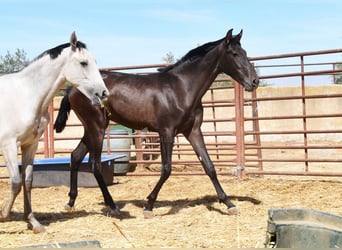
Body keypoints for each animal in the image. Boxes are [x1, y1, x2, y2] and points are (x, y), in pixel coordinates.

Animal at [53, 28, 258, 217]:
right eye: (234, 54)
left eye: (245, 52)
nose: (254, 81)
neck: (182, 88)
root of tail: (72, 89)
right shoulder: (166, 131)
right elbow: (166, 169)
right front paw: (149, 205)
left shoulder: (192, 131)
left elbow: (209, 166)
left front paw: (229, 204)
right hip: (97, 127)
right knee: (94, 165)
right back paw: (112, 206)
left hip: (91, 128)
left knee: (75, 156)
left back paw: (70, 202)